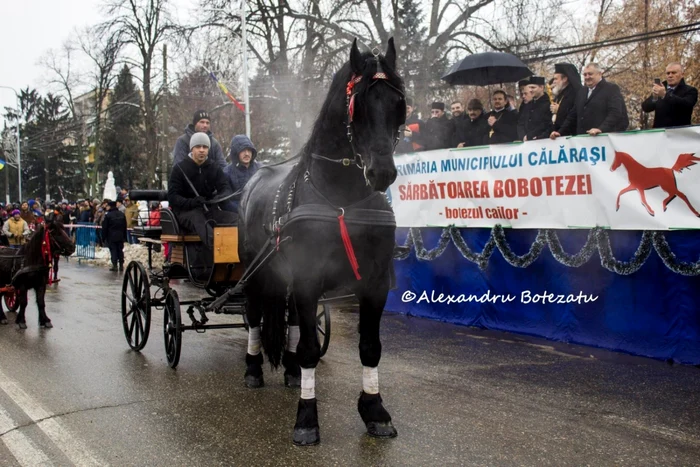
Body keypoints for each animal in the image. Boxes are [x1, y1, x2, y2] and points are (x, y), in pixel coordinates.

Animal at [239, 39, 404, 446]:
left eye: (398, 102)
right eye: (358, 103)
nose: (382, 172)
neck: (342, 200)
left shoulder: (375, 283)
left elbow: (369, 347)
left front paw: (374, 410)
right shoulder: (308, 279)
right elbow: (312, 350)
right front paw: (306, 418)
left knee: (292, 322)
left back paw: (291, 371)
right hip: (254, 275)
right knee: (254, 317)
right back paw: (253, 368)